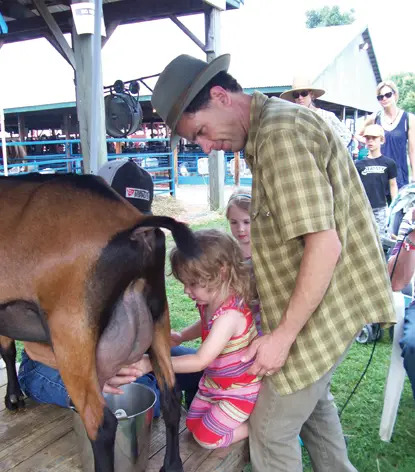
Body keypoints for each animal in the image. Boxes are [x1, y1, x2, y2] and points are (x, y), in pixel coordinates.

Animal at [0, 174, 199, 472]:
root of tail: (134, 225)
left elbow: (6, 348)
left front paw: (12, 397)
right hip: (158, 314)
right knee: (170, 395)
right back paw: (172, 464)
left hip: (71, 330)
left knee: (101, 423)